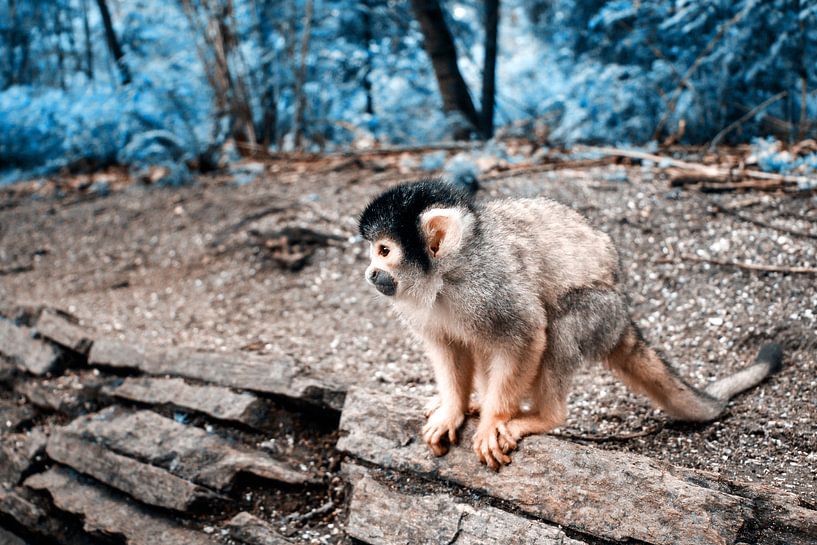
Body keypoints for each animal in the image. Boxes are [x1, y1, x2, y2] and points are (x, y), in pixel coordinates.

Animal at [358, 179, 784, 470]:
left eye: (384, 250)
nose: (370, 273)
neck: (446, 277)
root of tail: (624, 316)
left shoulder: (488, 286)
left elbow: (527, 333)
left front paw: (495, 419)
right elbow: (449, 346)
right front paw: (453, 408)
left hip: (602, 315)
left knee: (561, 324)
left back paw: (543, 417)